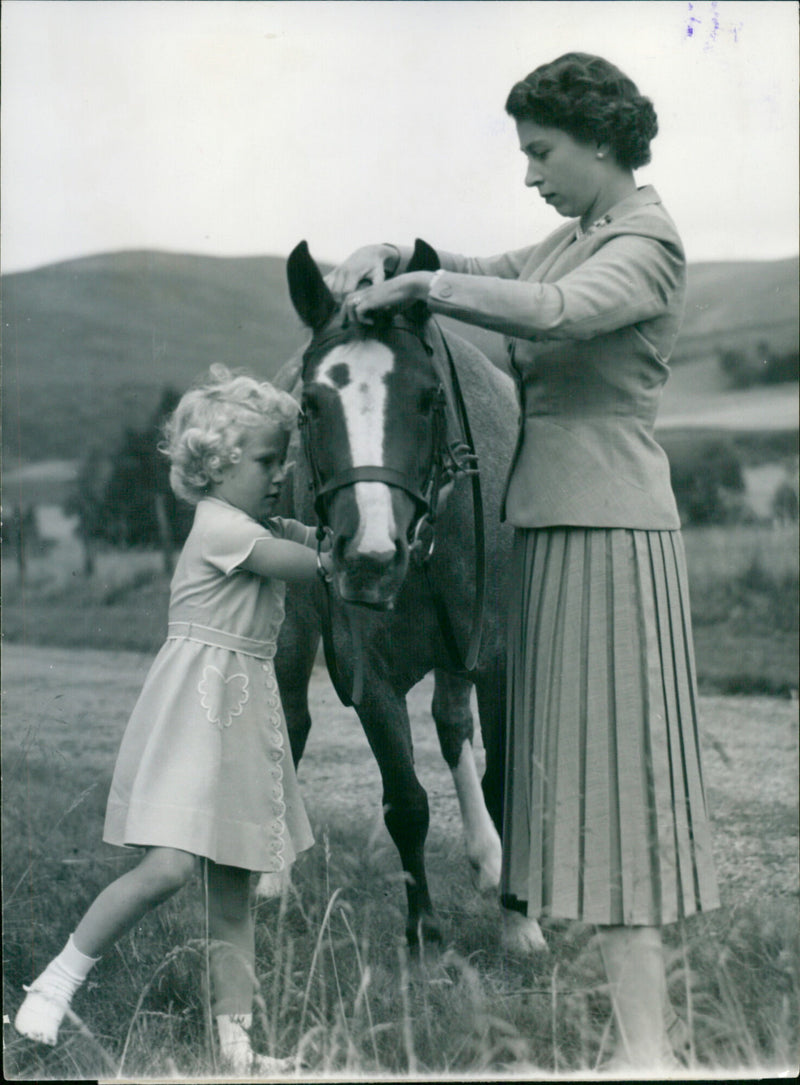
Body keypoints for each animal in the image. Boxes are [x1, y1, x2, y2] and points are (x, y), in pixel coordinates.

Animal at [273, 239, 542, 950]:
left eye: (428, 400)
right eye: (310, 407)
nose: (369, 556)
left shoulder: (498, 657)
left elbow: (499, 776)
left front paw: (518, 918)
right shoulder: (369, 676)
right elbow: (407, 802)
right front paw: (423, 930)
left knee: (451, 726)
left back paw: (487, 856)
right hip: (291, 624)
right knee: (290, 723)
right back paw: (270, 878)